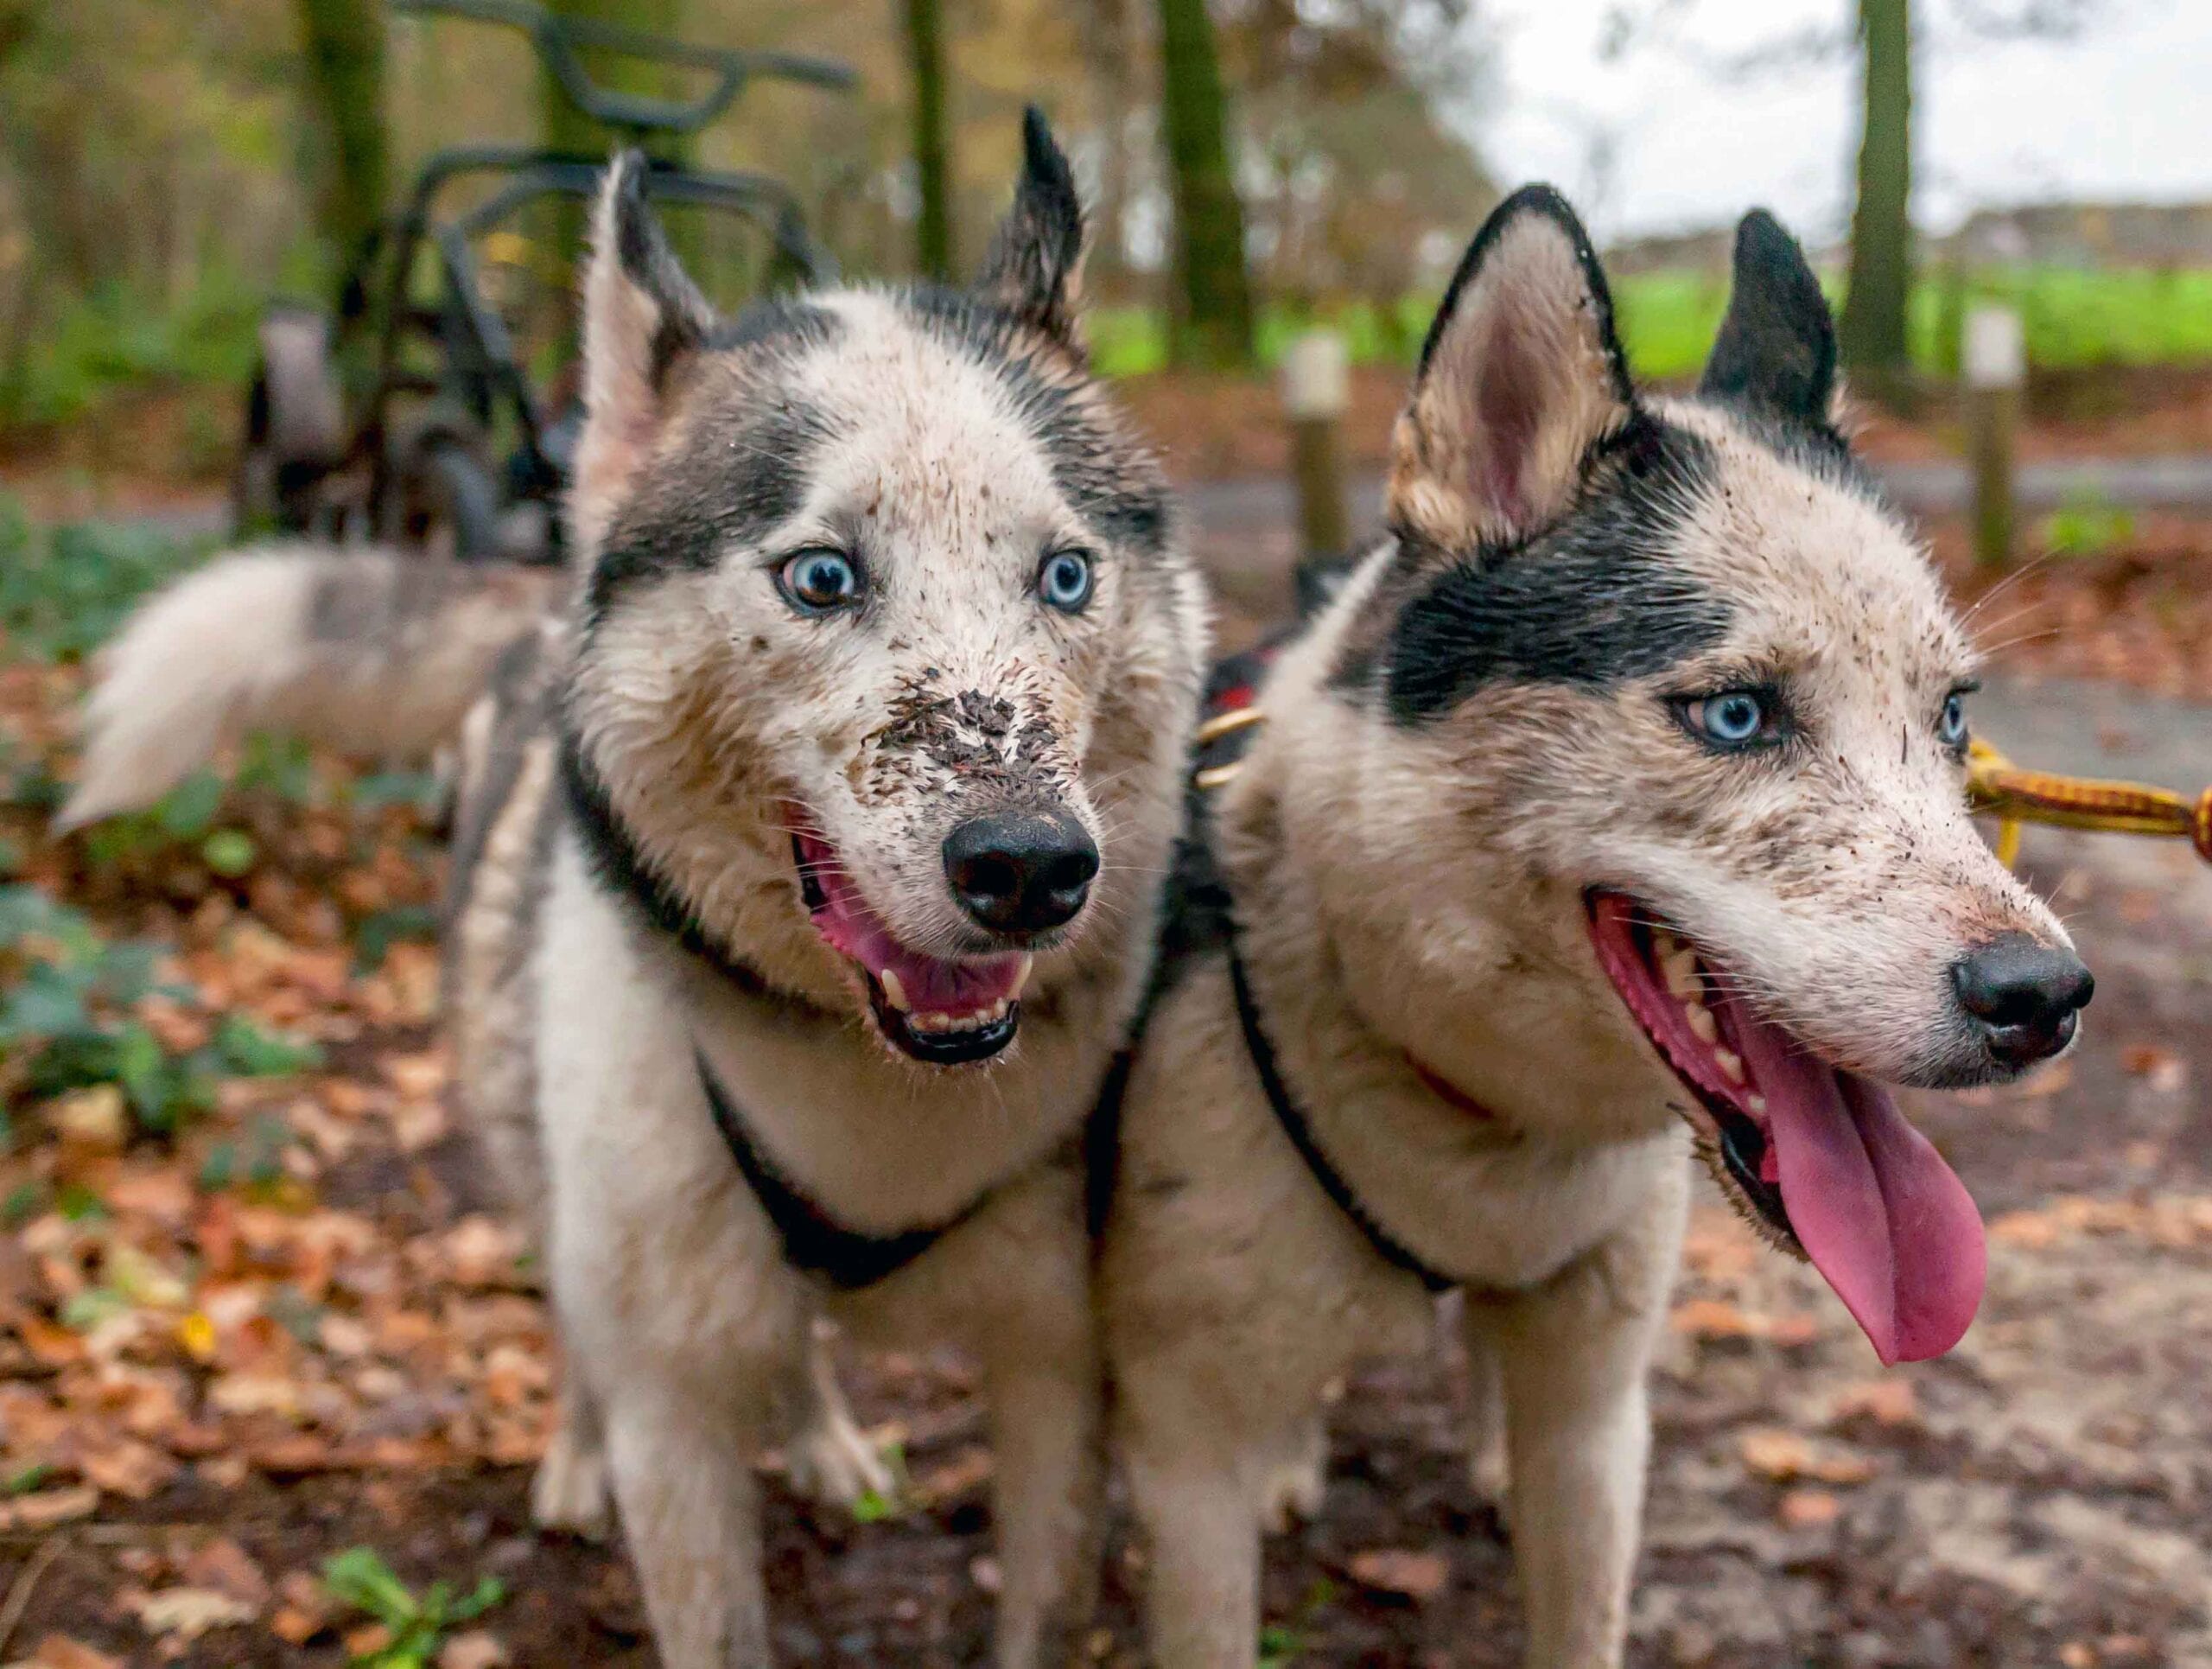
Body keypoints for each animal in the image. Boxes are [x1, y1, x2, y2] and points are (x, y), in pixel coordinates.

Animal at [64, 111, 1211, 1655]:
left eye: (1069, 574)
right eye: (822, 575)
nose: (1029, 867)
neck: (871, 1107)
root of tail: (538, 587)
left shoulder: (1054, 1374)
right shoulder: (673, 1416)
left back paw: (826, 1435)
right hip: (533, 1145)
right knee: (570, 1304)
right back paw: (571, 1449)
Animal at [1106, 194, 2088, 1664]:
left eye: (1954, 714)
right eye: (1736, 715)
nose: (2045, 996)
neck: (1471, 1108)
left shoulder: (1594, 1413)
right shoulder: (1186, 1455)